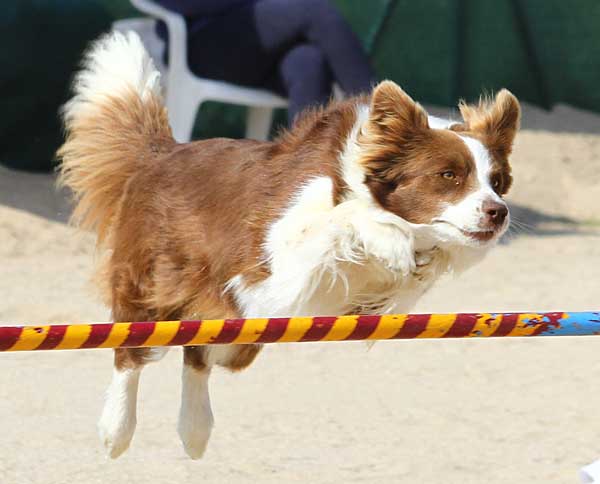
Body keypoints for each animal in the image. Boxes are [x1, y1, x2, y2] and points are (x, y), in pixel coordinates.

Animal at [57, 32, 520, 460]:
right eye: (448, 175)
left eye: (497, 181)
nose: (498, 212)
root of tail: (162, 153)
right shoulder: (275, 255)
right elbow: (346, 219)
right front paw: (388, 237)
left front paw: (411, 252)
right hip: (158, 284)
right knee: (131, 351)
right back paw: (117, 428)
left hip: (237, 330)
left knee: (197, 353)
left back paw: (195, 429)